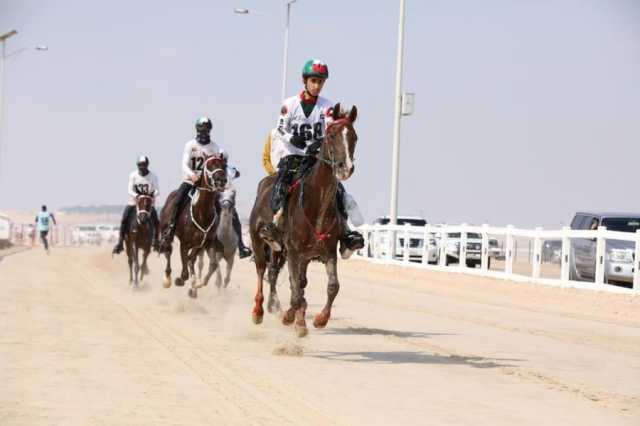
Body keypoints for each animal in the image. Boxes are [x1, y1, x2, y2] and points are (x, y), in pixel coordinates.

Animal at [158, 155, 226, 298]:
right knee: (168, 250)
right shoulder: (185, 243)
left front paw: (197, 284)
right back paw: (167, 279)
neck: (201, 213)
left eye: (224, 165)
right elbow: (185, 269)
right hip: (166, 232)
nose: (221, 181)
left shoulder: (206, 243)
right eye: (209, 165)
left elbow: (211, 264)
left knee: (192, 260)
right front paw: (181, 280)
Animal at [250, 103, 360, 336]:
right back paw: (259, 310)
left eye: (354, 136)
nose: (345, 167)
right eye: (331, 134)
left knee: (284, 277)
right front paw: (294, 319)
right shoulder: (293, 252)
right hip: (259, 241)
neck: (316, 203)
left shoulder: (327, 253)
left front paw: (319, 319)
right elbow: (295, 292)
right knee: (262, 270)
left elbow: (332, 286)